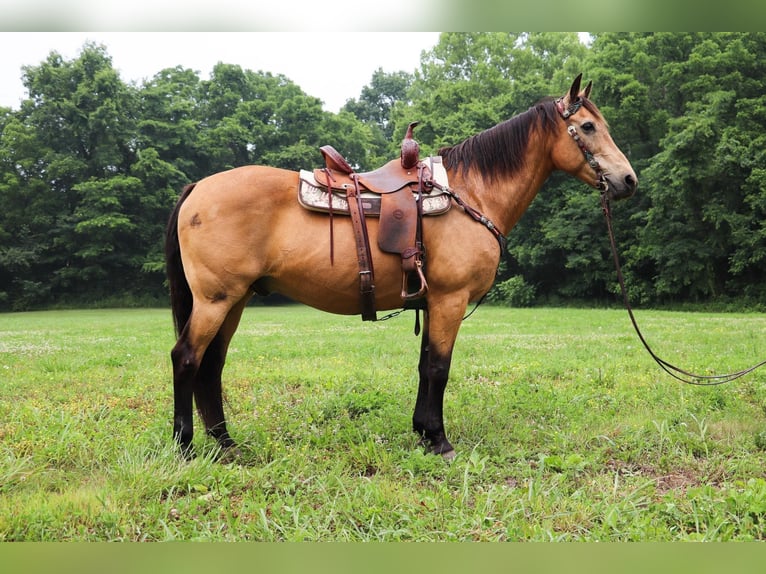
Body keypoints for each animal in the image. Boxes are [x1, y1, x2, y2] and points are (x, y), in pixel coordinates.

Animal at [165, 76, 640, 462]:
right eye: (589, 127)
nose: (629, 181)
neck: (471, 194)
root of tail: (198, 187)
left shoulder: (431, 303)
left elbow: (424, 365)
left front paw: (423, 433)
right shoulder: (450, 301)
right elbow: (438, 369)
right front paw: (441, 441)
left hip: (235, 300)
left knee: (212, 364)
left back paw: (226, 444)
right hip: (215, 300)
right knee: (186, 358)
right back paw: (185, 446)